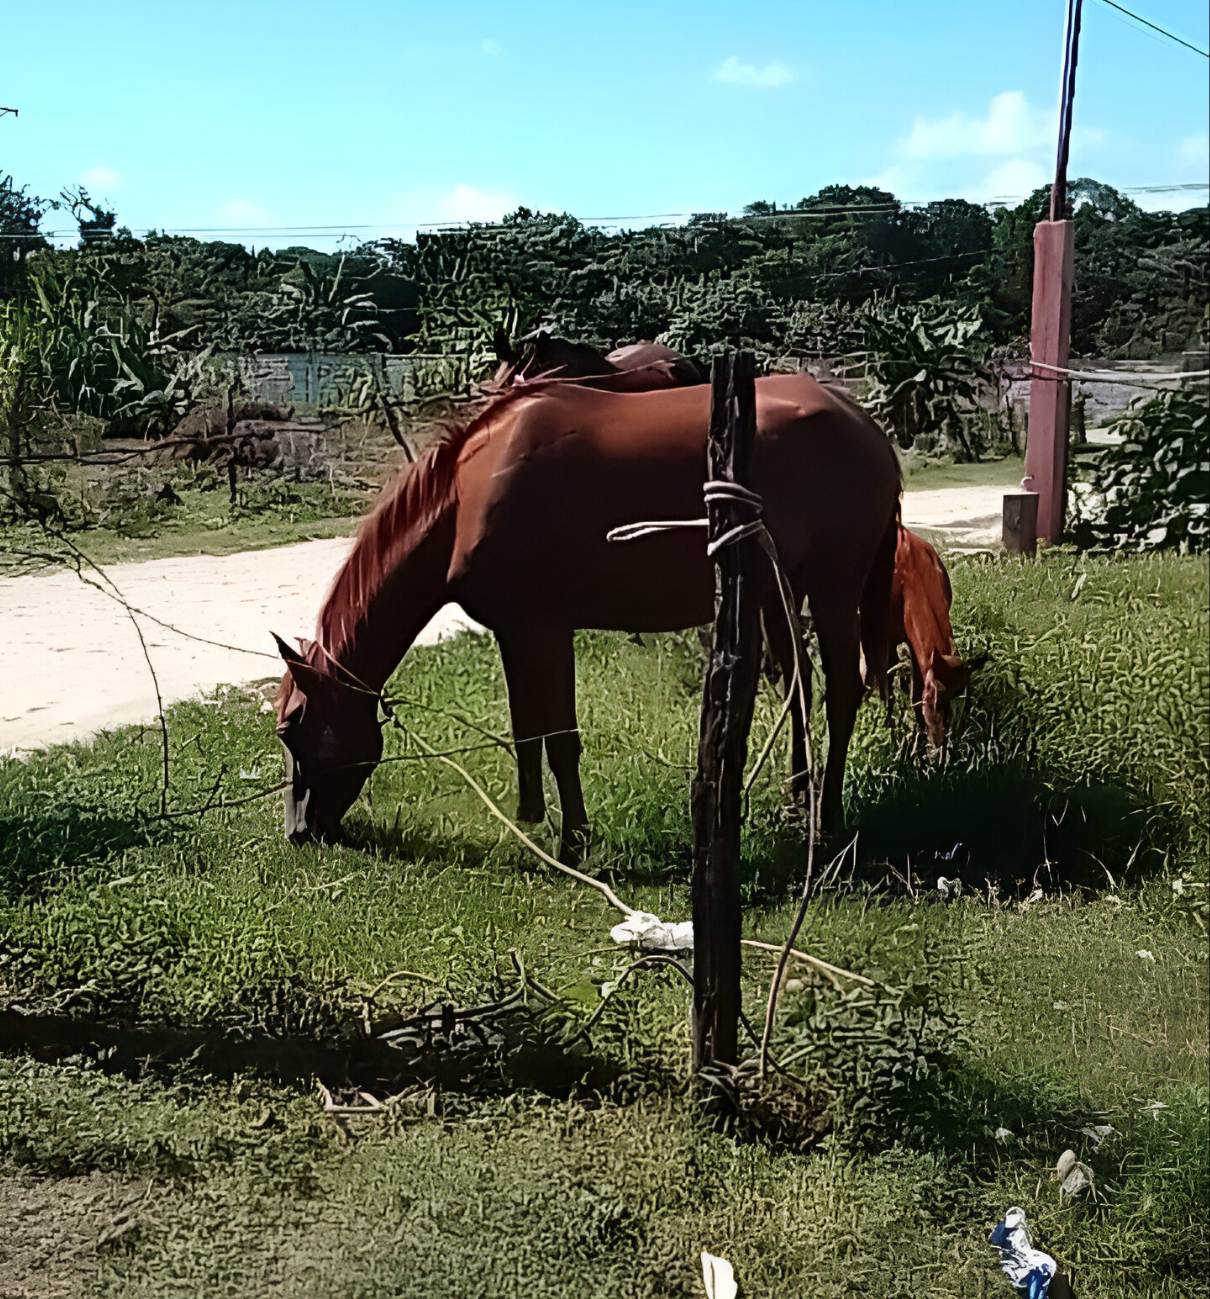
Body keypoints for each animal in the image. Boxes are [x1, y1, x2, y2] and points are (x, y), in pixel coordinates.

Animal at [274, 376, 899, 857]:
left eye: (293, 729)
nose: (299, 832)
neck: (466, 496)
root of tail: (864, 426)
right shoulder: (515, 631)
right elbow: (527, 729)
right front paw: (531, 815)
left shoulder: (545, 630)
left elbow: (560, 738)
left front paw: (573, 840)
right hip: (779, 589)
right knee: (801, 686)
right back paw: (799, 800)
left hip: (833, 588)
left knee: (842, 691)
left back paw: (829, 818)